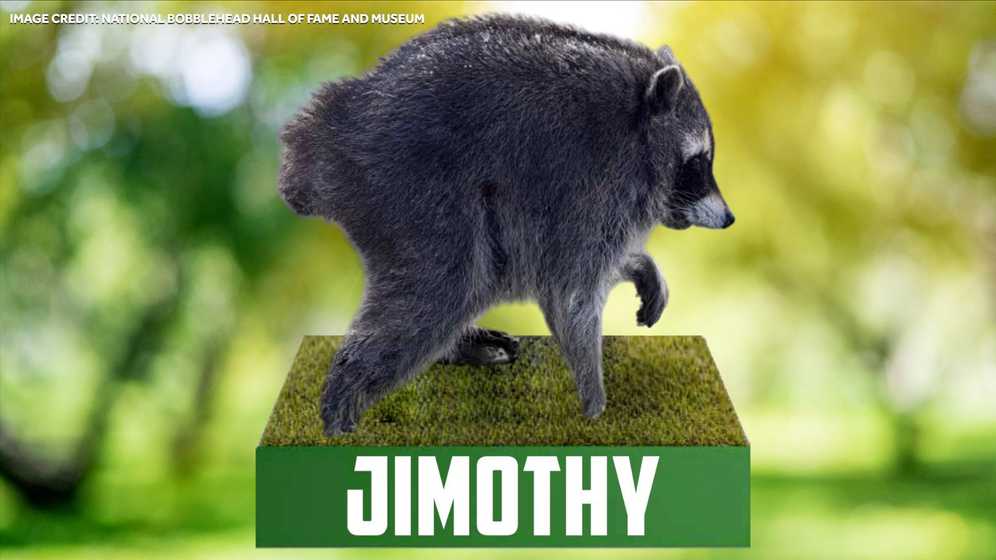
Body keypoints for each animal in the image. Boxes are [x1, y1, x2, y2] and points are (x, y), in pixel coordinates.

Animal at [278, 14, 734, 435]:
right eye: (698, 162)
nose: (729, 218)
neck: (637, 122)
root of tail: (329, 128)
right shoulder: (591, 183)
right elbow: (571, 292)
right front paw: (594, 403)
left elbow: (588, 269)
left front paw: (641, 265)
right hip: (411, 188)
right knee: (440, 288)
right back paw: (342, 400)